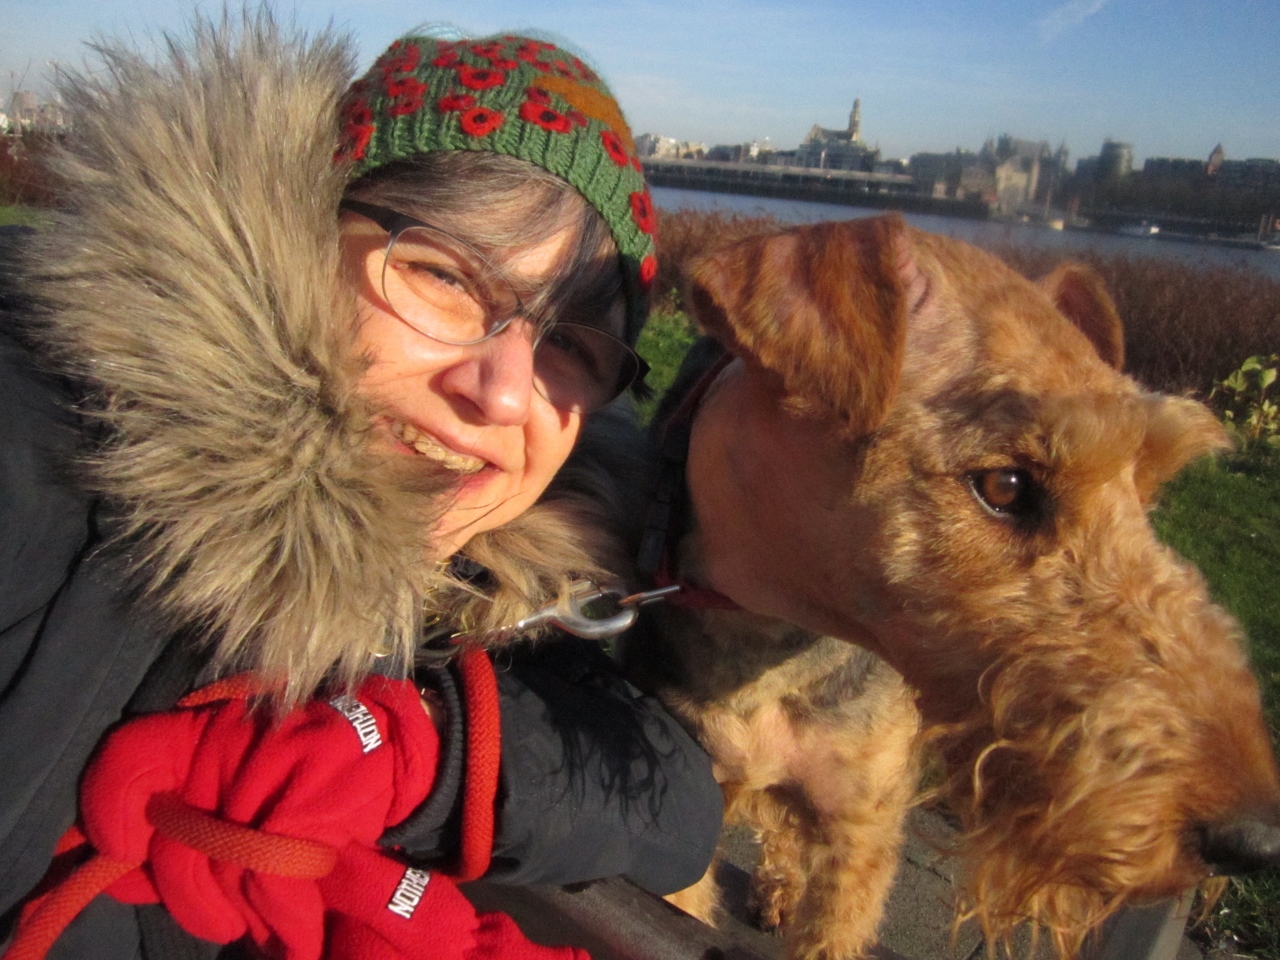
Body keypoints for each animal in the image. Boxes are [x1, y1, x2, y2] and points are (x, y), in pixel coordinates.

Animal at [603, 215, 1280, 960]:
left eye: (1148, 490)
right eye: (1004, 485)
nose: (1254, 840)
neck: (774, 634)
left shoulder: (862, 830)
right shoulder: (684, 812)